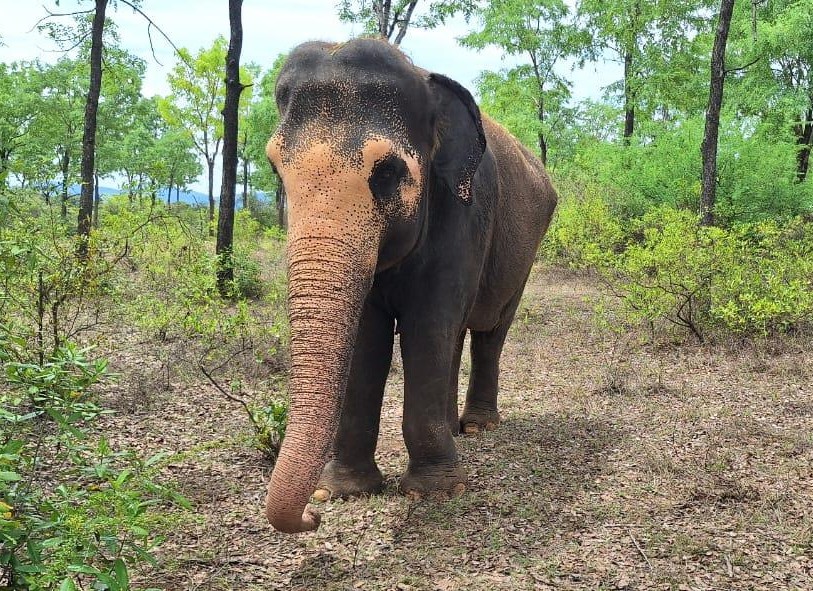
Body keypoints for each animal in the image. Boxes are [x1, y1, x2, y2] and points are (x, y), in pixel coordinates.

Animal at [263, 38, 558, 534]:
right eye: (274, 169)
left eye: (386, 173)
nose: (310, 516)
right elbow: (368, 338)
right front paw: (341, 490)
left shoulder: (464, 212)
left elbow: (428, 325)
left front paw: (437, 492)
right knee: (457, 337)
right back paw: (457, 430)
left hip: (525, 252)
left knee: (489, 331)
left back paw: (478, 427)